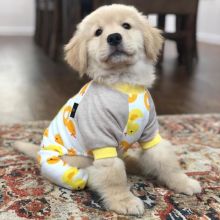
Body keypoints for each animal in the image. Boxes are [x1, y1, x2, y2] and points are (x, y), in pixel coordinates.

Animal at [14, 4, 201, 216]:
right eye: (98, 32)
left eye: (126, 25)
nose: (114, 37)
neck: (124, 83)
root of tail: (39, 151)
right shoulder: (102, 141)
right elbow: (114, 176)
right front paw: (124, 201)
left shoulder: (151, 134)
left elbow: (166, 161)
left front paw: (183, 182)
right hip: (73, 166)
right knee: (90, 174)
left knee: (130, 161)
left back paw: (140, 165)